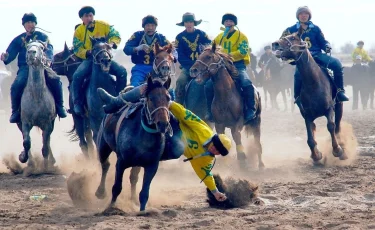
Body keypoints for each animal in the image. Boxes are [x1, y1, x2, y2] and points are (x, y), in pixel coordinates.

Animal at [17, 40, 57, 168]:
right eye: (28, 47)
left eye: (41, 47)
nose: (31, 52)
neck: (36, 95)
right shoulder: (25, 122)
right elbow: (26, 142)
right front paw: (23, 157)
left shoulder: (48, 123)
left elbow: (45, 147)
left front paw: (46, 166)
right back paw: (31, 162)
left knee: (47, 141)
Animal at [96, 77, 174, 212]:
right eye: (151, 98)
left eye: (168, 98)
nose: (163, 124)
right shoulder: (121, 162)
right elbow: (117, 187)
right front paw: (111, 207)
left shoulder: (152, 166)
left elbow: (144, 192)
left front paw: (142, 210)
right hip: (103, 146)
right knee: (105, 164)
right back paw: (100, 192)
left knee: (133, 177)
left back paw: (133, 199)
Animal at [274, 26, 350, 163]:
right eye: (284, 36)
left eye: (293, 37)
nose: (275, 44)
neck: (313, 83)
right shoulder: (307, 115)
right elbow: (310, 138)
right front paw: (316, 155)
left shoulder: (329, 109)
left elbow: (331, 126)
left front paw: (338, 150)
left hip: (339, 107)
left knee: (337, 127)